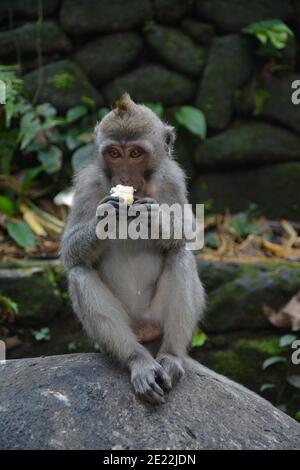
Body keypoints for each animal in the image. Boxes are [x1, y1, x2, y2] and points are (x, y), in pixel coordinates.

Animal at [61, 94, 206, 404]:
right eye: (115, 154)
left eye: (136, 153)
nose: (125, 178)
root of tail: (143, 328)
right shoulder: (87, 183)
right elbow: (69, 253)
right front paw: (104, 218)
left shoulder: (174, 178)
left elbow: (188, 233)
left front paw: (156, 219)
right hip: (125, 324)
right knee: (80, 272)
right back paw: (137, 360)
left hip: (156, 316)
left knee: (180, 256)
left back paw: (171, 356)